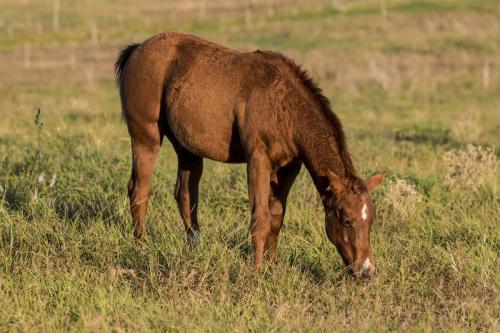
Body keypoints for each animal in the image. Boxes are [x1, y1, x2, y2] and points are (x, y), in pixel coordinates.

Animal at [115, 32, 384, 278]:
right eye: (346, 220)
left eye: (371, 221)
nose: (366, 271)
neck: (283, 106)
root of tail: (137, 48)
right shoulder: (258, 161)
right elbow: (260, 218)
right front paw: (256, 271)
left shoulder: (289, 168)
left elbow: (276, 217)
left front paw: (272, 267)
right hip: (146, 138)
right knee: (139, 190)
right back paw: (141, 247)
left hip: (187, 148)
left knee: (185, 195)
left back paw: (194, 247)